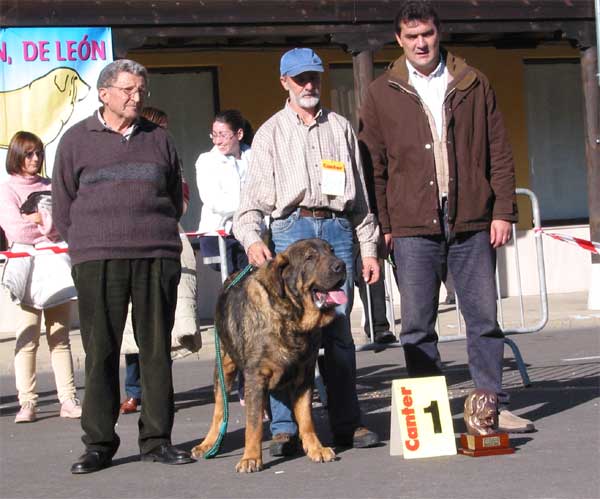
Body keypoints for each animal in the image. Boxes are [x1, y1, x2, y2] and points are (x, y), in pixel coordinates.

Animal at [195, 238, 346, 472]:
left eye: (332, 251)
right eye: (310, 257)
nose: (341, 265)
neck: (292, 318)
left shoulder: (304, 376)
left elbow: (306, 418)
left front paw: (315, 448)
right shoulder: (256, 377)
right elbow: (253, 424)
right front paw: (250, 457)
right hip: (224, 368)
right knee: (219, 409)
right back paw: (208, 443)